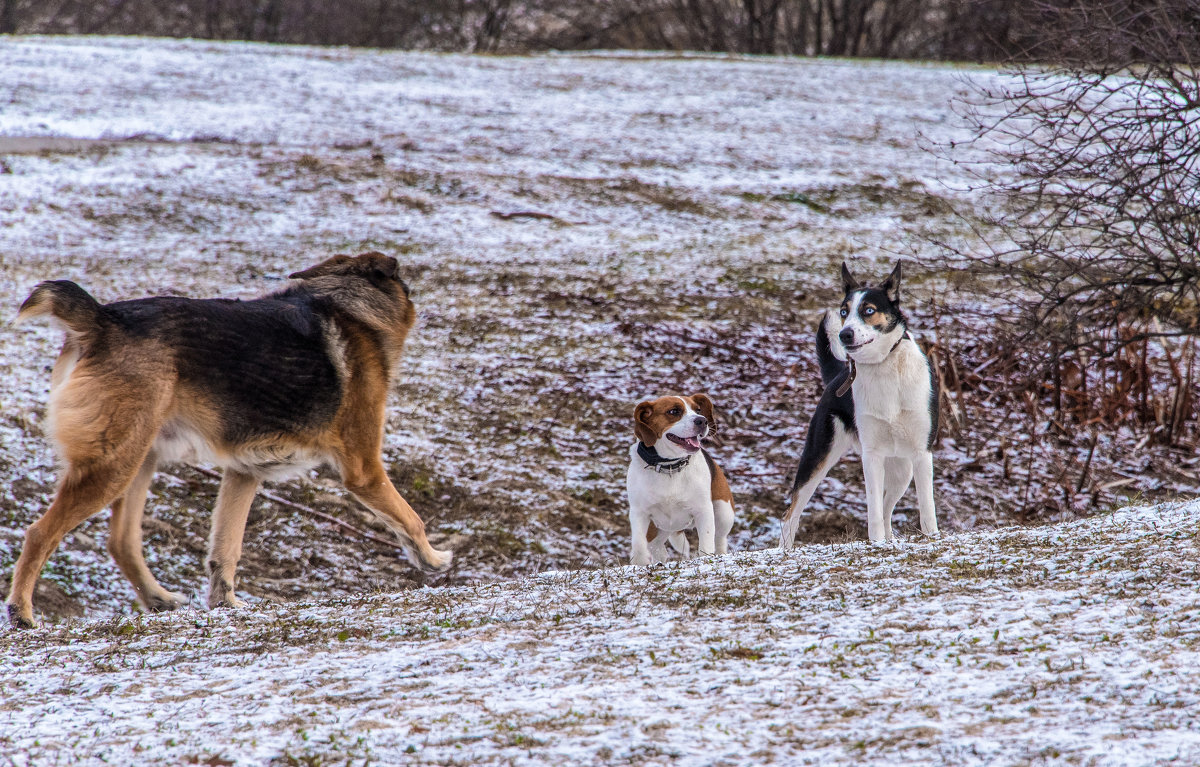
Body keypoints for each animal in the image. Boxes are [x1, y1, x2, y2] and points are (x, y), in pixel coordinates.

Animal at [4, 252, 451, 628]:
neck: (349, 307)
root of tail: (102, 319)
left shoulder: (244, 472)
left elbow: (225, 550)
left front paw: (226, 604)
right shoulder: (363, 468)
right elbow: (410, 517)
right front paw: (432, 559)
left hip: (138, 459)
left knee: (122, 542)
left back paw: (158, 598)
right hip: (113, 465)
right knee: (40, 534)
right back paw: (22, 613)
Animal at [777, 262, 936, 547]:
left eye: (868, 310)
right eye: (844, 311)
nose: (844, 334)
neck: (884, 366)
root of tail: (839, 372)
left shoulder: (922, 453)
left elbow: (926, 510)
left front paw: (931, 538)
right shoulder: (871, 455)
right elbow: (872, 512)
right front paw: (877, 543)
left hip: (902, 470)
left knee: (887, 508)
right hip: (819, 456)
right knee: (790, 514)